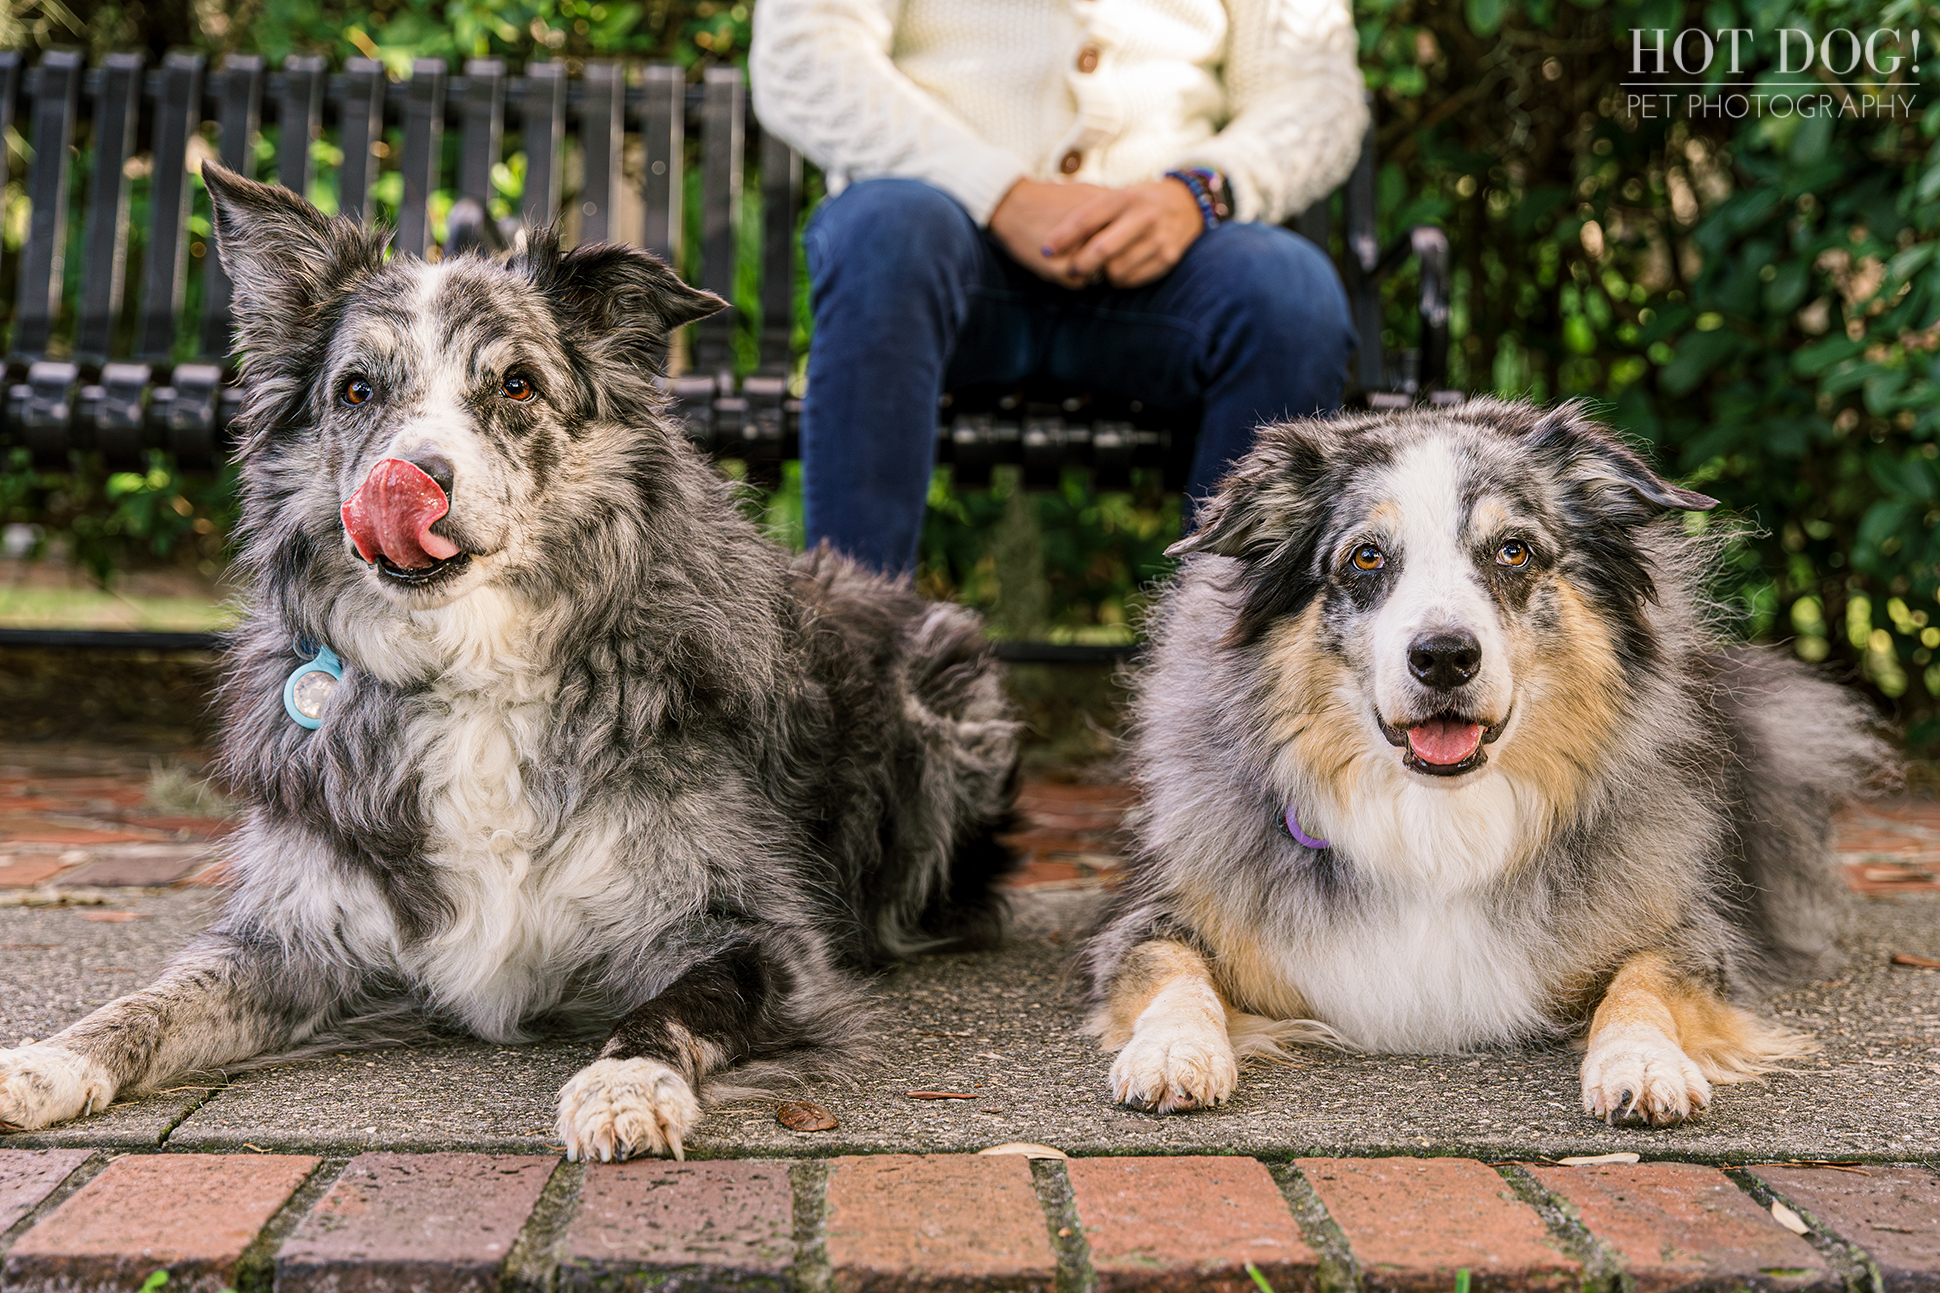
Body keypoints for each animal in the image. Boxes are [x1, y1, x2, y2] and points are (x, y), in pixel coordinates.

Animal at [0, 161, 1024, 1157]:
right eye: (357, 390)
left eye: (518, 386)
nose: (410, 481)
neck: (472, 673)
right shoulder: (300, 935)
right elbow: (158, 1000)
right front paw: (48, 1060)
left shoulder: (760, 934)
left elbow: (681, 1003)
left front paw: (626, 1083)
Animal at [1086, 397, 1885, 1126]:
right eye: (1366, 556)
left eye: (1513, 551)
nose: (1444, 656)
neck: (1438, 819)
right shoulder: (1158, 910)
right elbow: (1169, 966)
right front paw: (1172, 1050)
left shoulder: (1685, 929)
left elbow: (1646, 981)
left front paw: (1642, 1060)